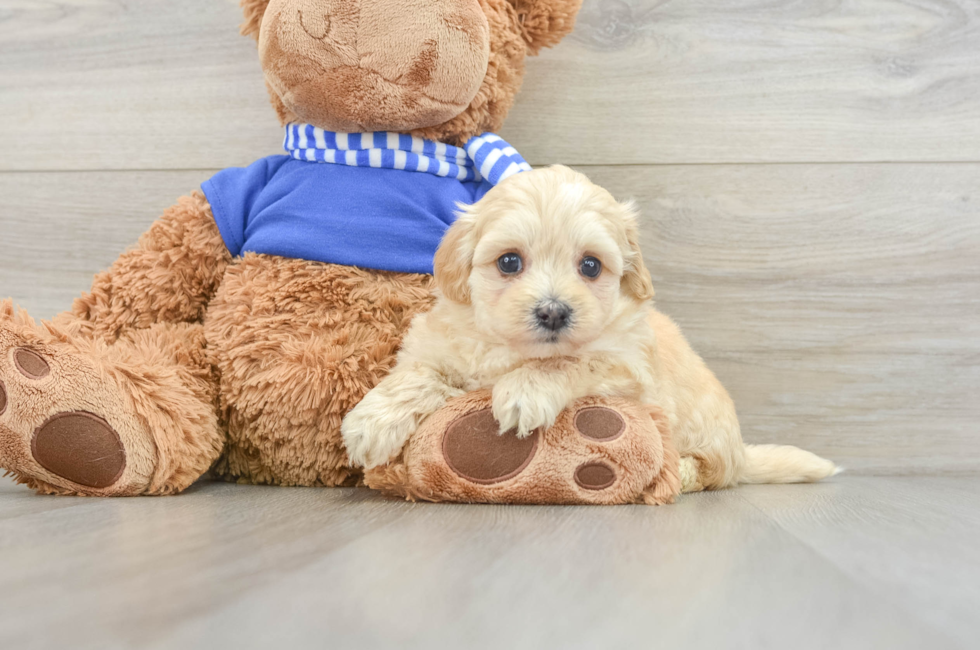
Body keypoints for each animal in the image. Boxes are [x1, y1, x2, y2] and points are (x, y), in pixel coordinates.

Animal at [340, 165, 840, 488]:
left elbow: (572, 361)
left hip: (708, 441)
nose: (553, 312)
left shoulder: (627, 370)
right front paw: (372, 421)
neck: (517, 351)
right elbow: (419, 374)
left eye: (591, 266)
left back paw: (676, 472)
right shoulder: (441, 345)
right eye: (509, 262)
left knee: (709, 473)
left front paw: (525, 390)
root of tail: (740, 454)